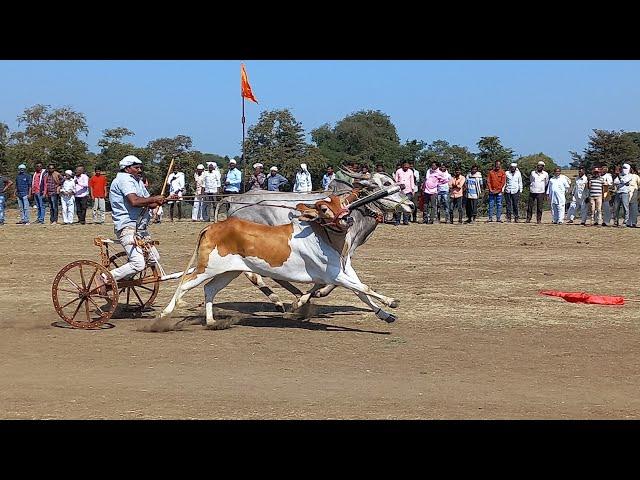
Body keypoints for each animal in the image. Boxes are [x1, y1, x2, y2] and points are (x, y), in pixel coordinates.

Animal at [152, 194, 398, 330]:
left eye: (344, 202)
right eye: (324, 208)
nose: (347, 218)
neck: (324, 237)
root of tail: (213, 226)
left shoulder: (345, 272)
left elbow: (362, 292)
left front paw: (385, 314)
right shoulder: (333, 275)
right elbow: (365, 288)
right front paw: (391, 301)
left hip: (228, 272)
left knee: (209, 289)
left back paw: (212, 322)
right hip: (206, 267)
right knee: (185, 284)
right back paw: (164, 314)